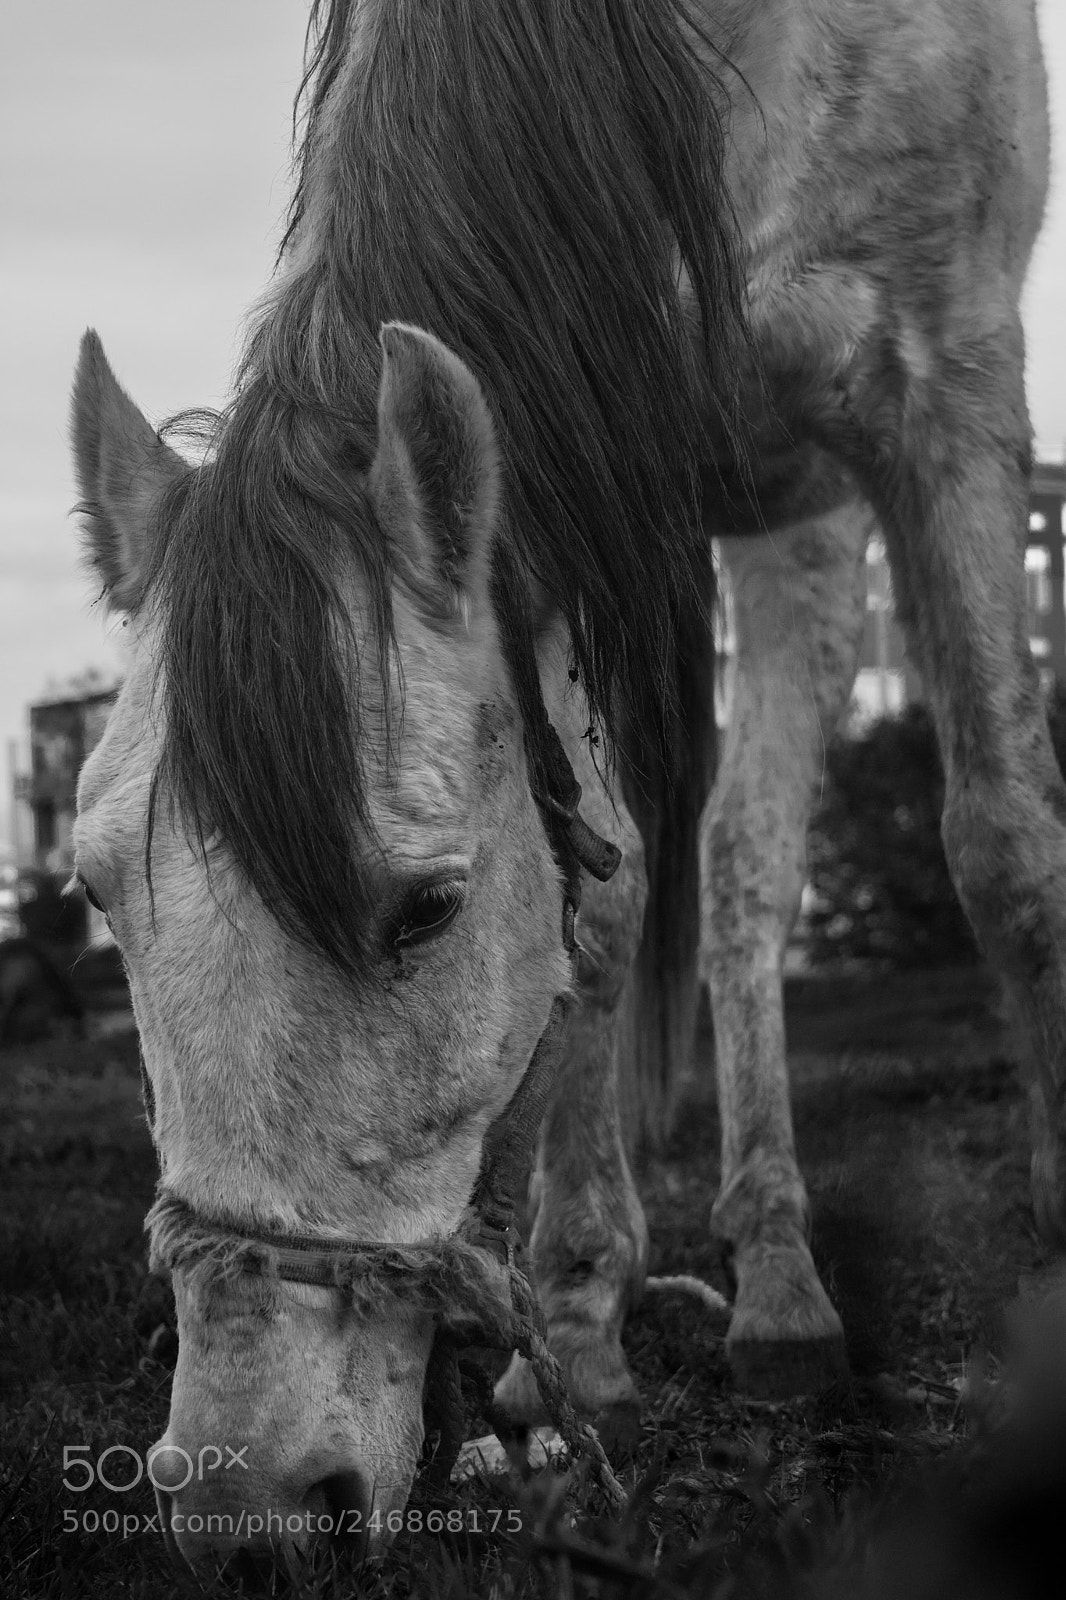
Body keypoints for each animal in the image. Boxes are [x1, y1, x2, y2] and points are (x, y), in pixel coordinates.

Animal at [70, 0, 1054, 1574]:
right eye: (97, 896)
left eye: (422, 909)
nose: (244, 1509)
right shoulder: (562, 501)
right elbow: (601, 898)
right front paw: (581, 1318)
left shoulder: (948, 390)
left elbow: (1005, 842)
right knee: (690, 871)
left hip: (802, 525)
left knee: (749, 868)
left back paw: (779, 1288)